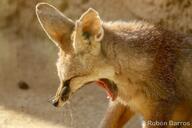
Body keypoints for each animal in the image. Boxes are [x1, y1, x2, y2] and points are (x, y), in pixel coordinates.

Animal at [36, 2, 192, 128]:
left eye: (71, 79)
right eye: (61, 78)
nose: (54, 102)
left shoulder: (158, 111)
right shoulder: (121, 104)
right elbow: (106, 124)